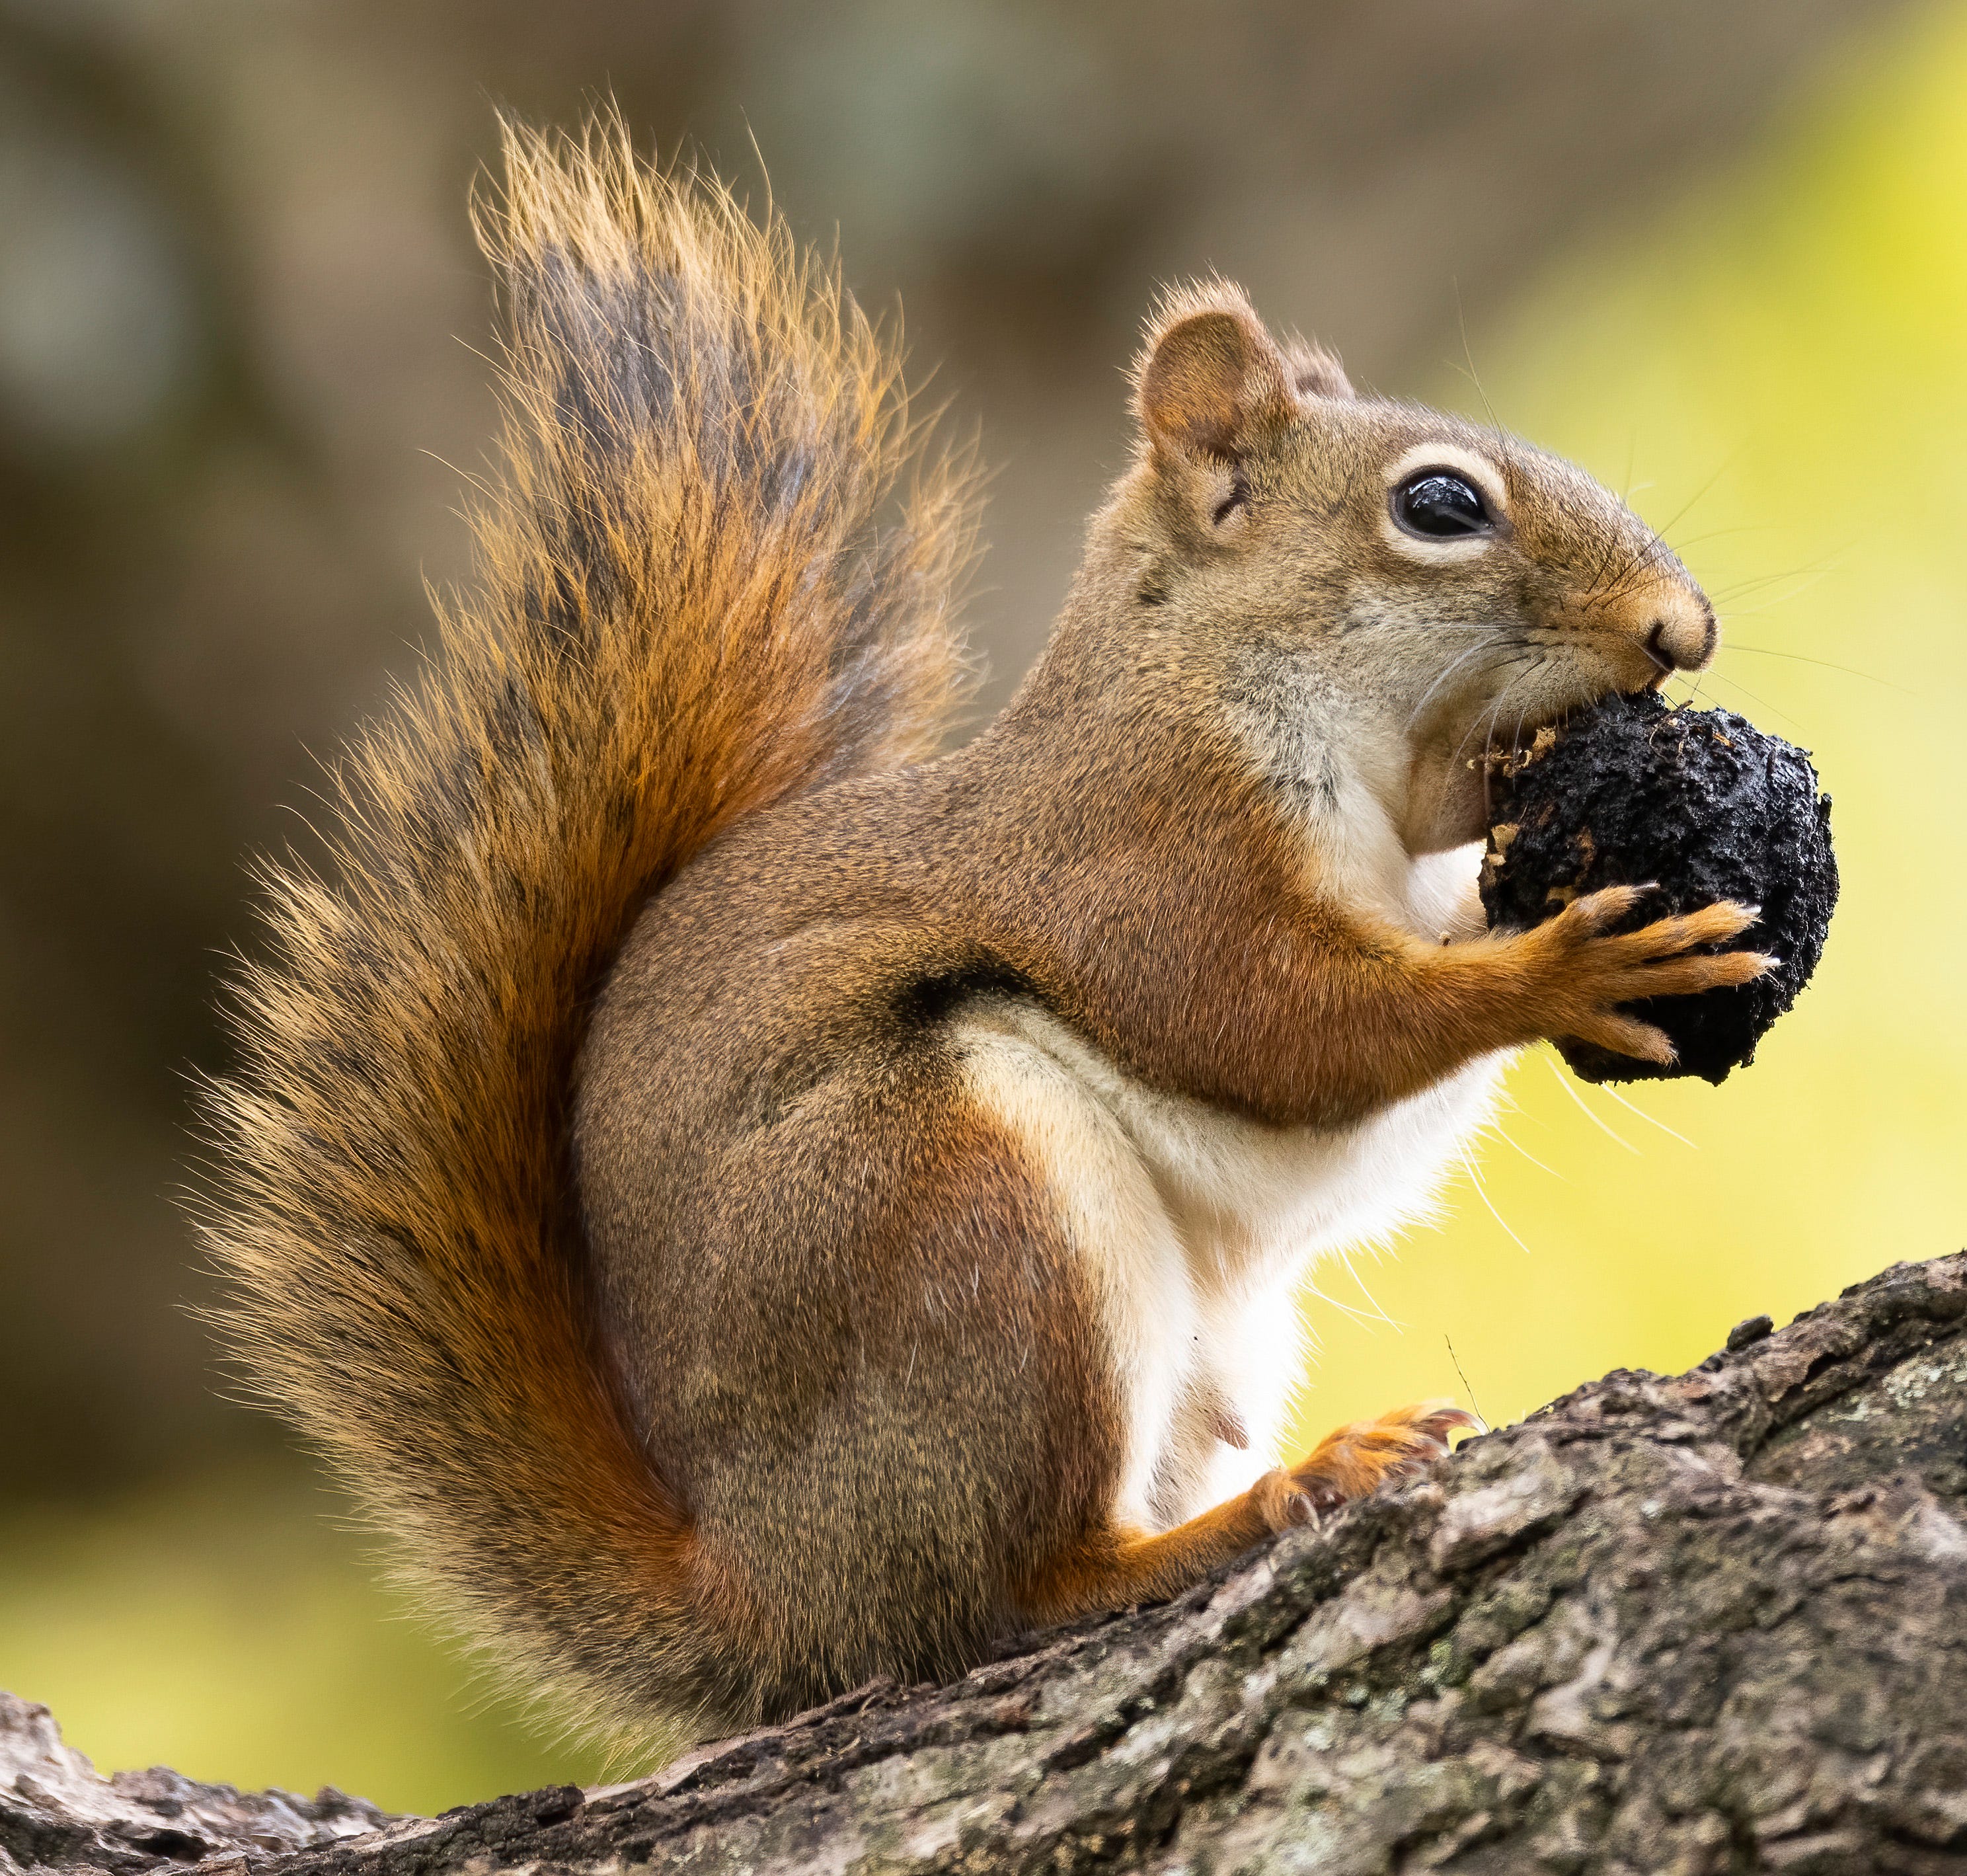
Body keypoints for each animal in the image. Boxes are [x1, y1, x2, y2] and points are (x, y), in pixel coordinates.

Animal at [199, 116, 1769, 1753]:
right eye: (1442, 507)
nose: (1685, 630)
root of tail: (777, 1586)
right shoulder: (1144, 854)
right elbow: (1276, 1024)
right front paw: (1581, 962)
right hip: (961, 1214)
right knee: (1009, 1592)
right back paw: (1261, 1507)